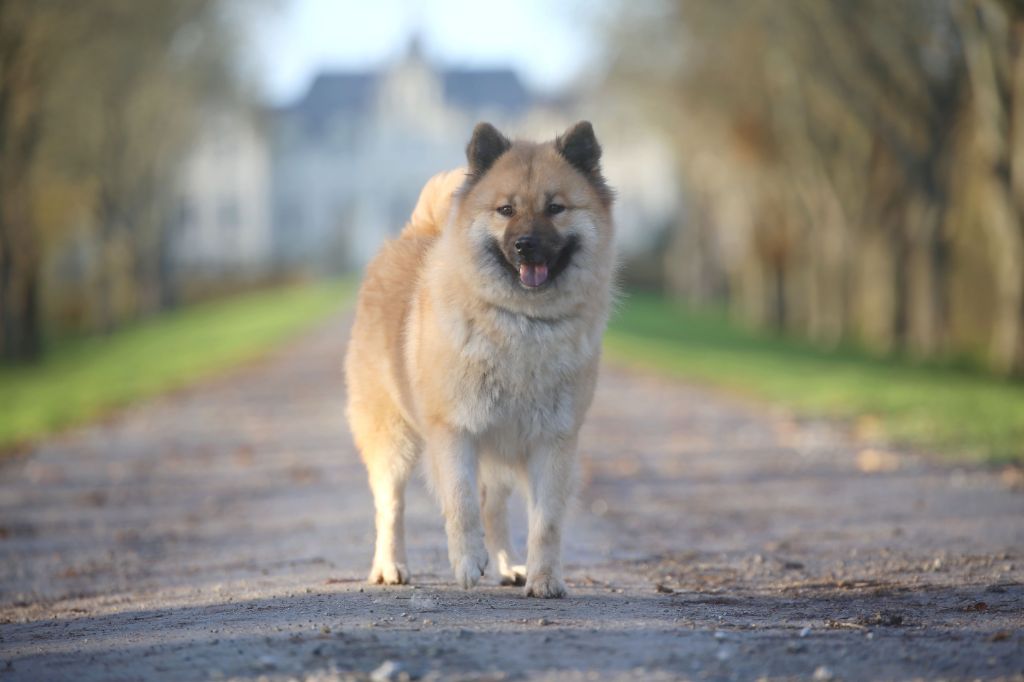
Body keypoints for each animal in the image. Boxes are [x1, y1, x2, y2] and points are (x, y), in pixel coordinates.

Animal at [344, 122, 614, 593]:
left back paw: (508, 566)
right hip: (393, 438)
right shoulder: (456, 431)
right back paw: (391, 566)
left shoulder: (552, 440)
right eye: (506, 210)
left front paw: (544, 578)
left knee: (496, 508)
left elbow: (545, 522)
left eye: (556, 208)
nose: (525, 245)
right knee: (391, 506)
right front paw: (468, 563)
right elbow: (462, 504)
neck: (521, 322)